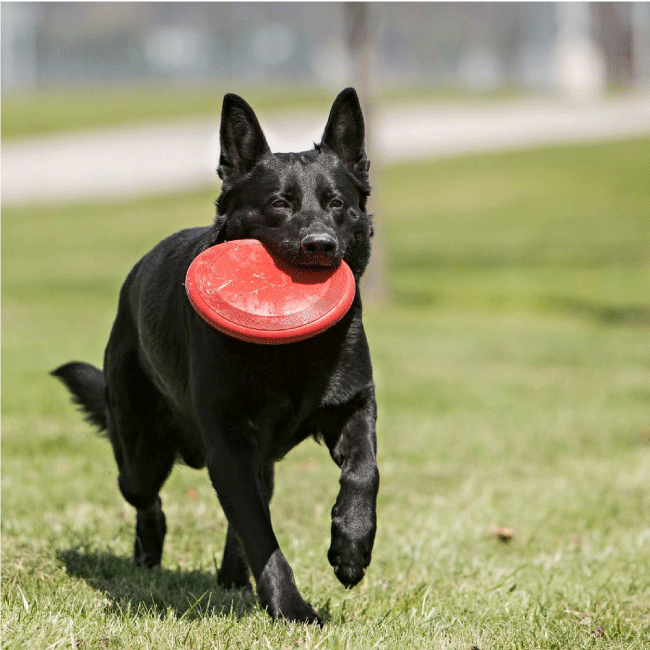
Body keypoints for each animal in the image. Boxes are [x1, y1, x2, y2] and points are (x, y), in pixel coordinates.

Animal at [54, 87, 380, 624]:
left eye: (337, 204)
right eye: (279, 204)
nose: (320, 246)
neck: (292, 353)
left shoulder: (354, 407)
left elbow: (363, 472)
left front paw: (351, 547)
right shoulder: (228, 445)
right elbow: (259, 532)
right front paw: (292, 608)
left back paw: (232, 578)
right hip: (141, 454)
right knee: (149, 500)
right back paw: (150, 556)